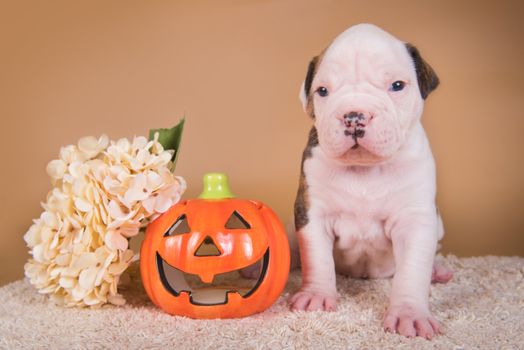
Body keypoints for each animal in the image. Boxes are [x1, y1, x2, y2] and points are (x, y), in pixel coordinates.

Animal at [288, 23, 452, 340]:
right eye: (322, 91)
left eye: (397, 86)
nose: (354, 115)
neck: (366, 170)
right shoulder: (312, 212)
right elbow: (317, 258)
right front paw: (316, 295)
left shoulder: (415, 221)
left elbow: (412, 270)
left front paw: (410, 315)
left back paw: (436, 271)